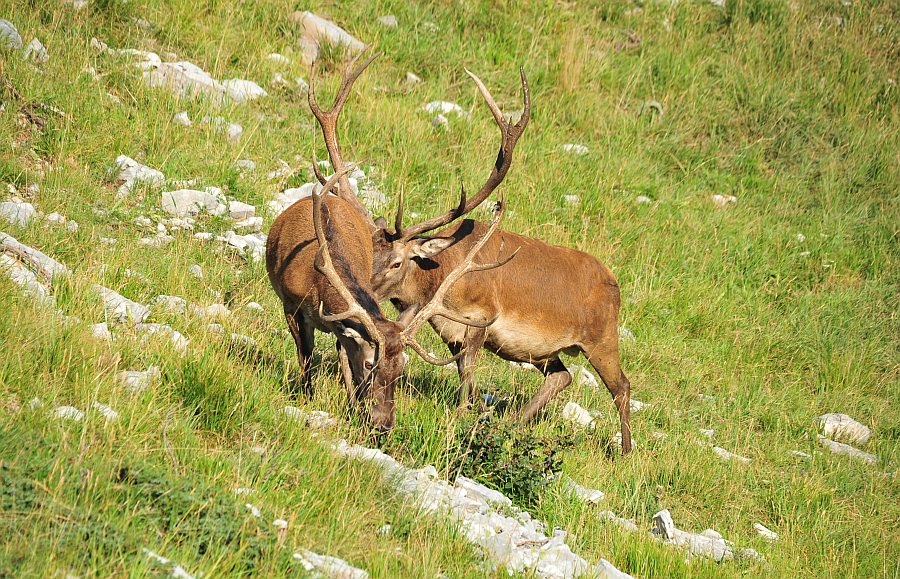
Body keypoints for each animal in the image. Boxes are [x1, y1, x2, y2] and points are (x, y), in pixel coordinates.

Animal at [264, 54, 510, 432]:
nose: (385, 422)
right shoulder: (292, 305)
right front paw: (306, 396)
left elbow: (342, 362)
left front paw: (353, 406)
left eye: (402, 369)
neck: (318, 285)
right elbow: (306, 360)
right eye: (371, 364)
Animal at [364, 65, 632, 450]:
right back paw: (513, 423)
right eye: (369, 249)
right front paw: (475, 412)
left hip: (603, 337)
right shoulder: (448, 328)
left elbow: (468, 368)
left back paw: (625, 452)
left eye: (397, 262)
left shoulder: (483, 314)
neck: (444, 276)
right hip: (546, 351)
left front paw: (462, 416)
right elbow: (464, 369)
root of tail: (615, 284)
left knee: (622, 386)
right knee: (562, 376)